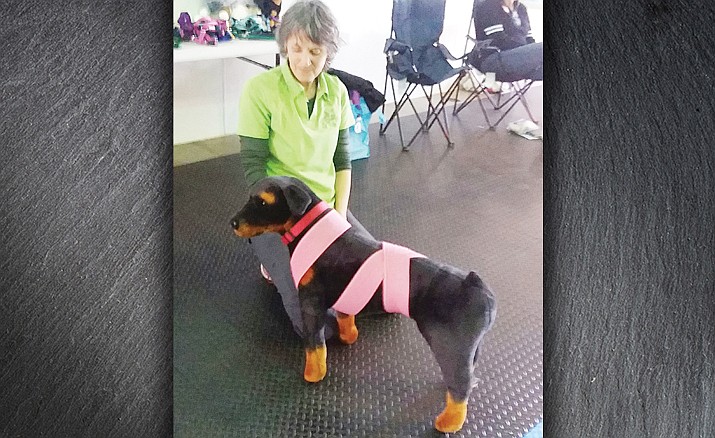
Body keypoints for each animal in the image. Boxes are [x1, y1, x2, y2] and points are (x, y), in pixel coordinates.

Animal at [231, 176, 498, 432]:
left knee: (460, 388)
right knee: (466, 378)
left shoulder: (311, 305)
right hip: (468, 349)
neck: (306, 229)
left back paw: (449, 422)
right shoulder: (343, 298)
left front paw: (314, 373)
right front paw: (349, 336)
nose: (233, 223)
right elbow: (345, 317)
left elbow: (314, 347)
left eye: (262, 202)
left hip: (448, 347)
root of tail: (477, 287)